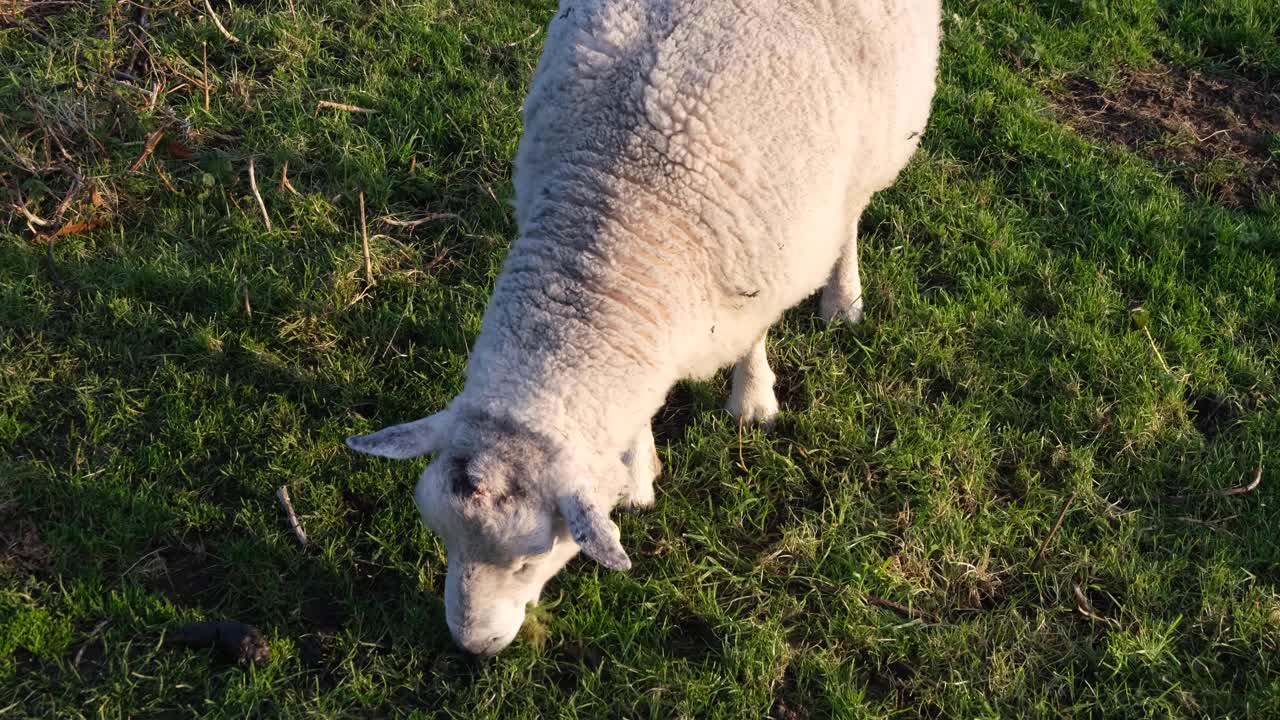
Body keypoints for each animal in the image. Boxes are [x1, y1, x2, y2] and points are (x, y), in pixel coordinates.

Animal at [346, 0, 941, 656]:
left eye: (529, 561)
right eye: (443, 538)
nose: (474, 646)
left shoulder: (765, 264)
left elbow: (753, 340)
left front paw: (753, 401)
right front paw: (635, 475)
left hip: (882, 133)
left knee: (853, 211)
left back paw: (843, 297)